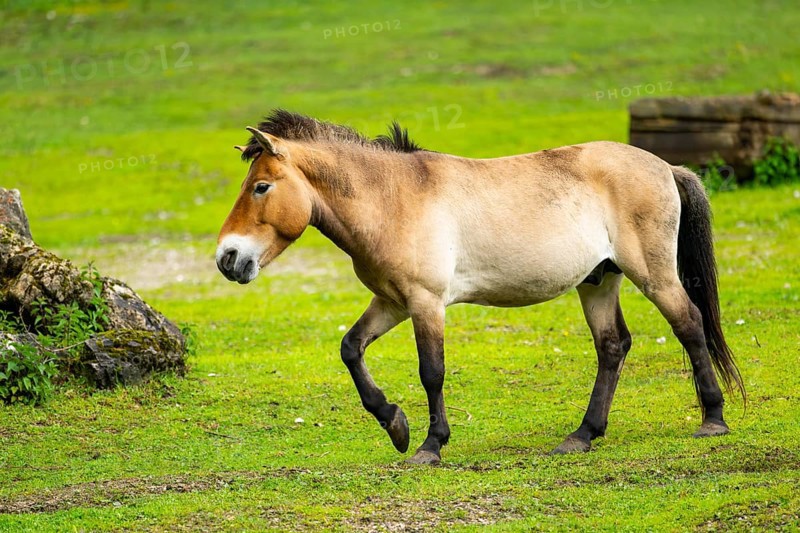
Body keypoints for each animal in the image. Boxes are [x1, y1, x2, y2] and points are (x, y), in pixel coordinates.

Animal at [216, 109, 744, 465]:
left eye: (261, 187)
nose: (227, 258)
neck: (392, 199)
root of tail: (666, 167)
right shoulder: (392, 302)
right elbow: (351, 348)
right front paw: (396, 425)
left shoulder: (426, 303)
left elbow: (431, 372)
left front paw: (429, 446)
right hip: (598, 281)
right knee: (613, 346)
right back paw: (581, 435)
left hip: (652, 274)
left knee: (689, 323)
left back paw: (712, 420)